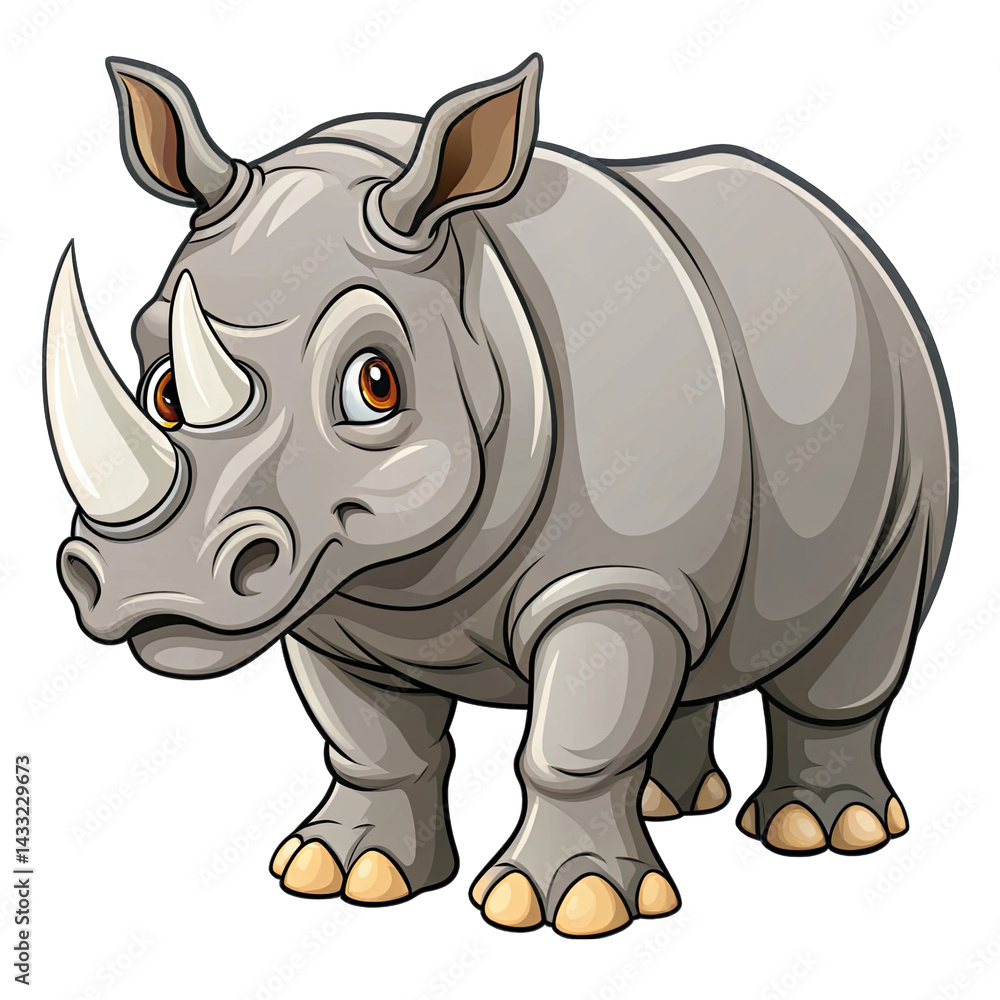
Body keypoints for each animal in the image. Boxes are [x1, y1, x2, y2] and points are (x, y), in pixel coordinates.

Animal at [45, 53, 957, 938]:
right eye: (164, 391)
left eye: (374, 384)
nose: (155, 584)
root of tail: (846, 232)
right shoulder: (332, 601)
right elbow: (373, 741)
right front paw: (345, 875)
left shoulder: (613, 580)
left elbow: (573, 742)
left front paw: (567, 907)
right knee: (697, 640)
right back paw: (675, 803)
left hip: (907, 412)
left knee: (858, 630)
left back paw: (824, 833)